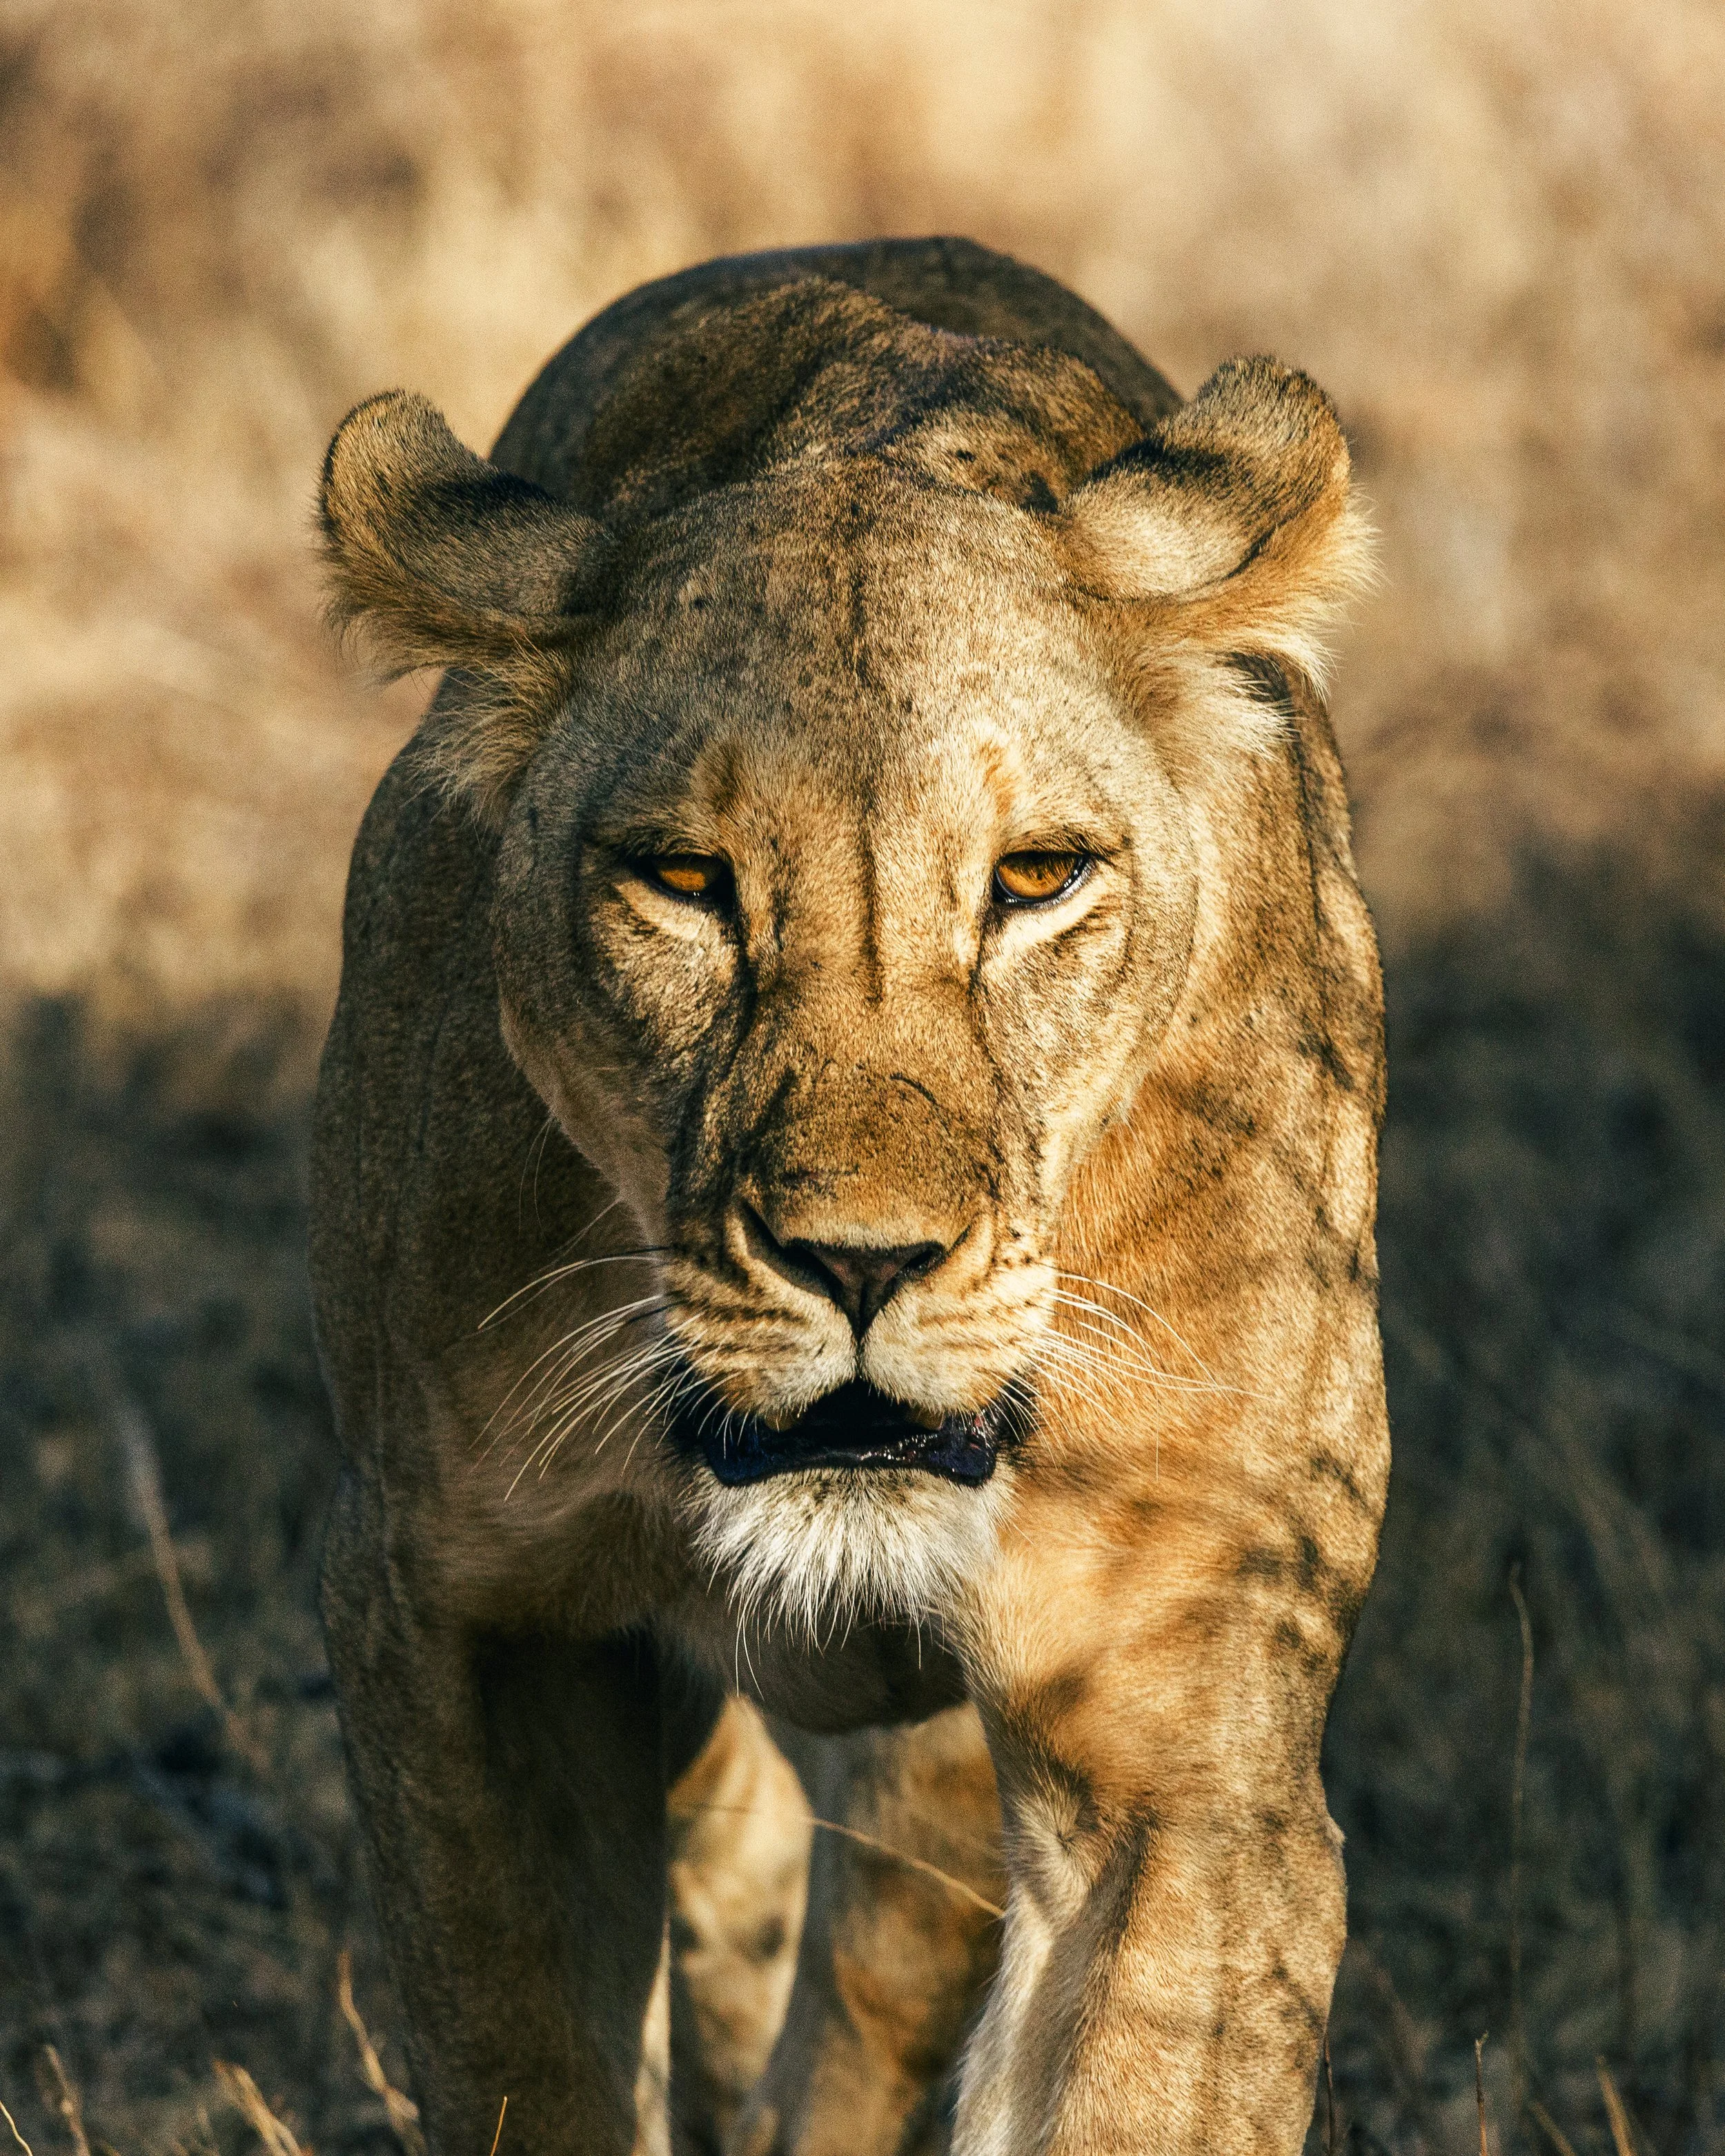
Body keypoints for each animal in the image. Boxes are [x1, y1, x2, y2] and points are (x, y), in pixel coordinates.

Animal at [310, 236, 1388, 2156]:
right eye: (683, 881)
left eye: (1036, 878)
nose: (861, 1263)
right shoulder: (454, 1603)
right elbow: (529, 2062)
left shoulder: (1183, 1706)